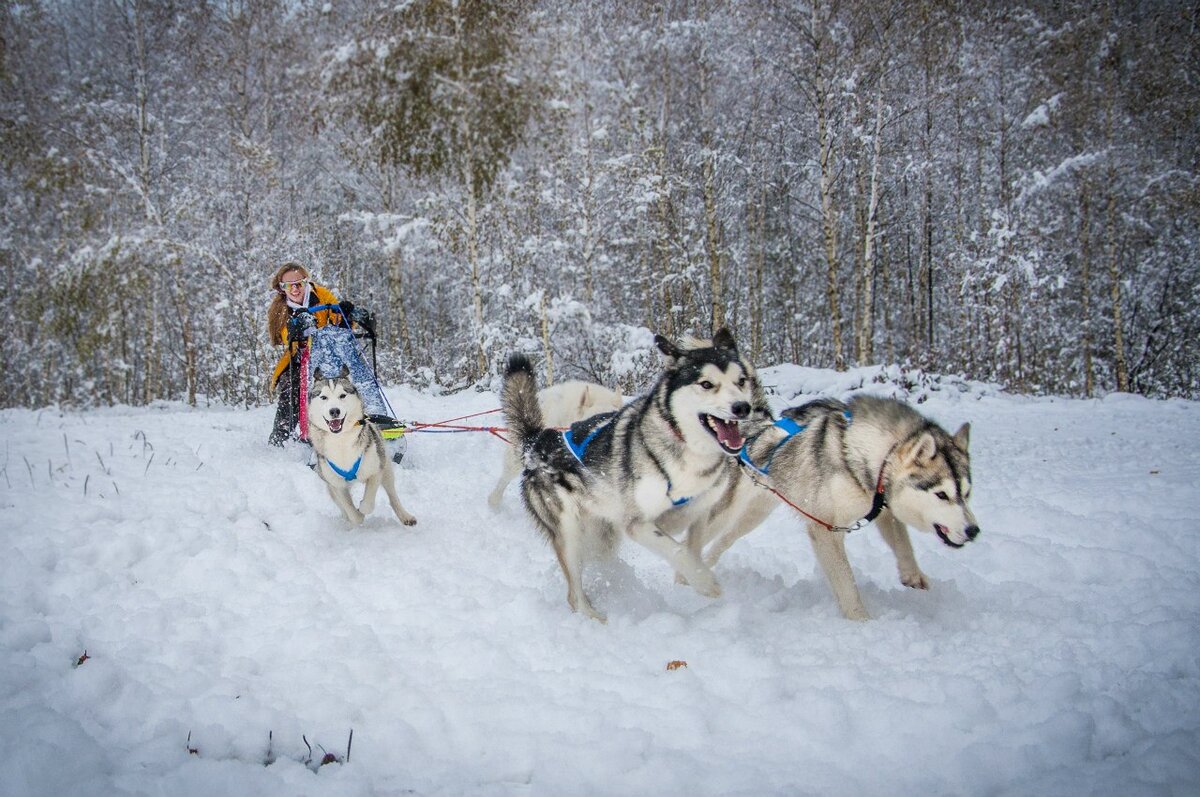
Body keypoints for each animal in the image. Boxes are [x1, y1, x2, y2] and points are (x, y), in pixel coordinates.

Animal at [307, 367, 420, 528]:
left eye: (343, 395)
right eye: (323, 397)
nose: (334, 411)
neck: (341, 441)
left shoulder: (375, 471)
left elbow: (368, 502)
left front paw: (362, 507)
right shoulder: (336, 484)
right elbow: (351, 511)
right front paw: (356, 515)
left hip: (386, 468)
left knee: (392, 496)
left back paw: (405, 516)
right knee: (341, 506)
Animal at [501, 328, 753, 624]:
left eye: (741, 381)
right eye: (706, 384)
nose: (742, 407)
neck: (687, 451)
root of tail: (538, 440)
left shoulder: (700, 510)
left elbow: (692, 547)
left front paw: (690, 578)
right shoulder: (637, 523)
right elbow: (677, 549)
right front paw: (704, 582)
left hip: (602, 534)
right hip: (570, 531)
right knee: (574, 594)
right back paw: (594, 618)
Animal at [691, 396, 979, 619]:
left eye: (966, 493)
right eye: (941, 494)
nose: (973, 530)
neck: (868, 452)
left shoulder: (881, 507)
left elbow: (903, 543)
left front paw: (913, 574)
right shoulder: (825, 529)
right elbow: (846, 582)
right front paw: (861, 621)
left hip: (753, 515)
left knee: (724, 540)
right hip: (727, 510)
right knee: (694, 538)